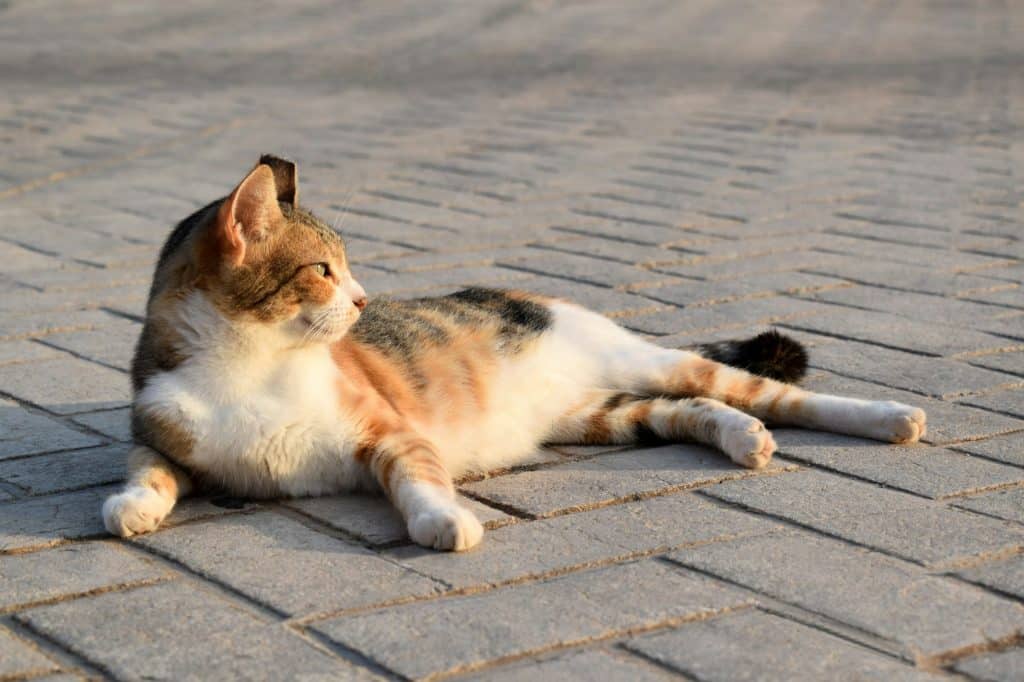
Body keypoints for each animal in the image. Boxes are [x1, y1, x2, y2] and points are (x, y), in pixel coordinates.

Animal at [103, 153, 929, 548]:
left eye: (344, 266)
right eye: (322, 269)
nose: (365, 299)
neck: (252, 366)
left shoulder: (391, 432)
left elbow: (420, 481)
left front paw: (444, 523)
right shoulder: (160, 428)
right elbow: (149, 470)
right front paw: (131, 507)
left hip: (648, 363)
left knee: (770, 392)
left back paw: (886, 418)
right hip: (604, 415)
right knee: (692, 407)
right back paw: (742, 439)